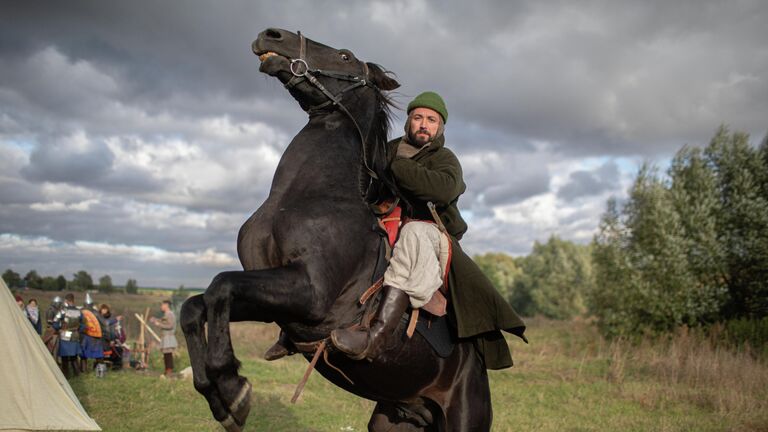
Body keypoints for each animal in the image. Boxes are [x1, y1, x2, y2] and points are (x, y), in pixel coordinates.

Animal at [180, 28, 492, 430]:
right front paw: (215, 394)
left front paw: (233, 388)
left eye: (344, 56)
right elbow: (194, 307)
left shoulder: (311, 293)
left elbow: (221, 286)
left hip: (464, 419)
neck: (311, 193)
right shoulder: (276, 299)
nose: (271, 35)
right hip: (391, 419)